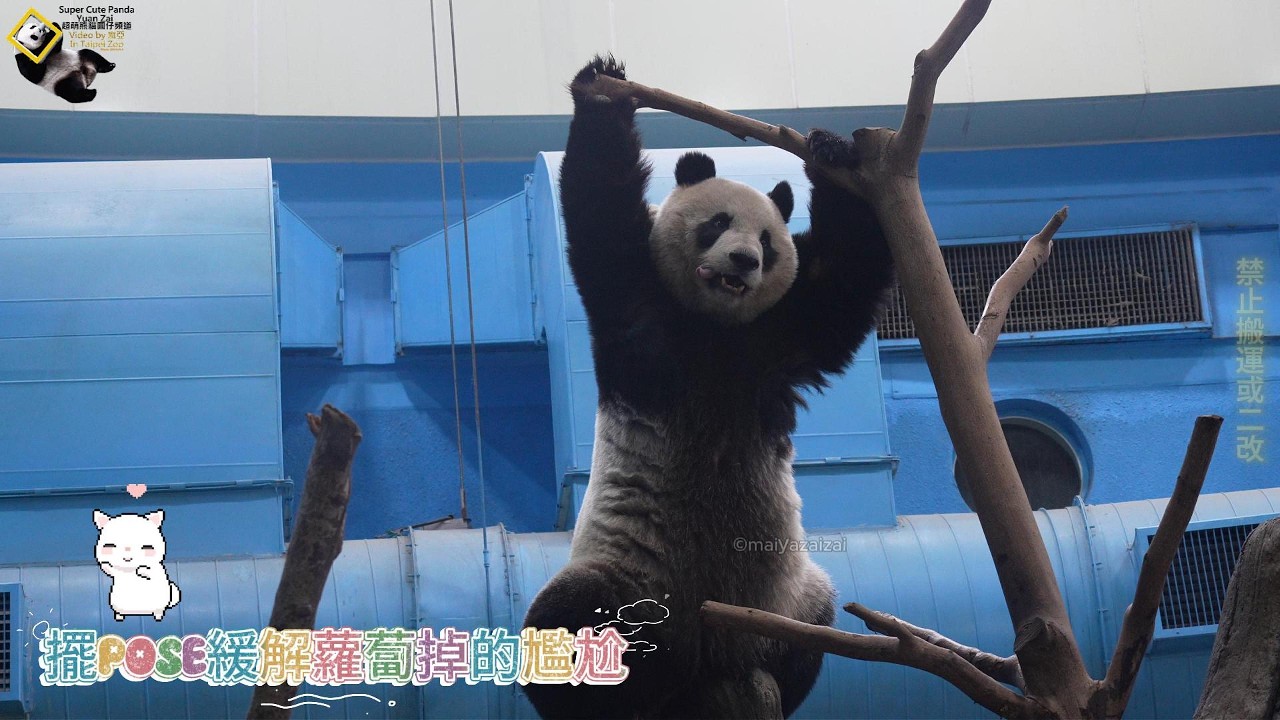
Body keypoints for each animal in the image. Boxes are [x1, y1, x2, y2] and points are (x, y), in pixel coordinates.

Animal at [522, 56, 894, 719]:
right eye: (718, 224)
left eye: (768, 242)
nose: (743, 261)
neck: (715, 329)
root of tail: (704, 650)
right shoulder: (642, 310)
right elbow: (602, 205)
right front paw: (601, 88)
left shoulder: (776, 341)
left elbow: (844, 273)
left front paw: (833, 151)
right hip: (629, 577)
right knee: (563, 623)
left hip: (784, 596)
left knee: (810, 628)